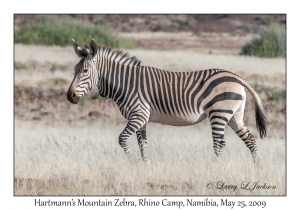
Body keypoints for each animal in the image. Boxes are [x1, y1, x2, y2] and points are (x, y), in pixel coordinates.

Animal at [67, 39, 266, 164]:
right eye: (75, 69)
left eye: (85, 71)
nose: (70, 96)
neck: (126, 83)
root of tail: (238, 78)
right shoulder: (141, 118)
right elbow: (143, 145)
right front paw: (145, 166)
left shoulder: (138, 115)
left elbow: (122, 139)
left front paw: (132, 162)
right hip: (234, 115)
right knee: (250, 139)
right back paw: (257, 167)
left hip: (219, 113)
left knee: (219, 143)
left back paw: (214, 167)